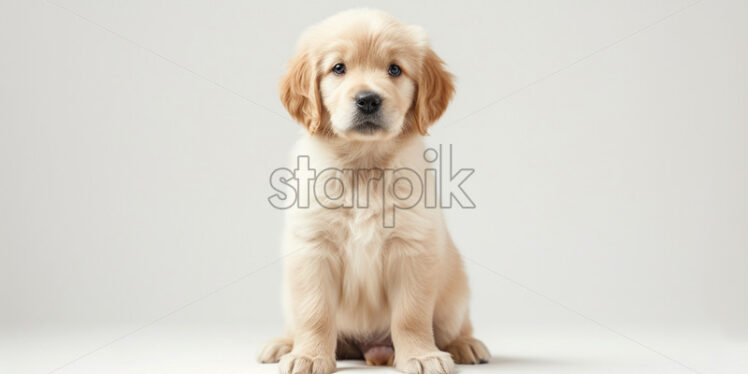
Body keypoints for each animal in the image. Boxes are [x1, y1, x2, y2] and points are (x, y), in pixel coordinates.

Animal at [258, 8, 490, 374]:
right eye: (339, 68)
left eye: (394, 69)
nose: (368, 99)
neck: (363, 166)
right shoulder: (313, 248)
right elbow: (315, 312)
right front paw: (309, 356)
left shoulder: (412, 248)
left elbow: (411, 316)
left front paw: (421, 356)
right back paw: (283, 344)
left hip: (454, 297)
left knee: (453, 326)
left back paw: (465, 344)